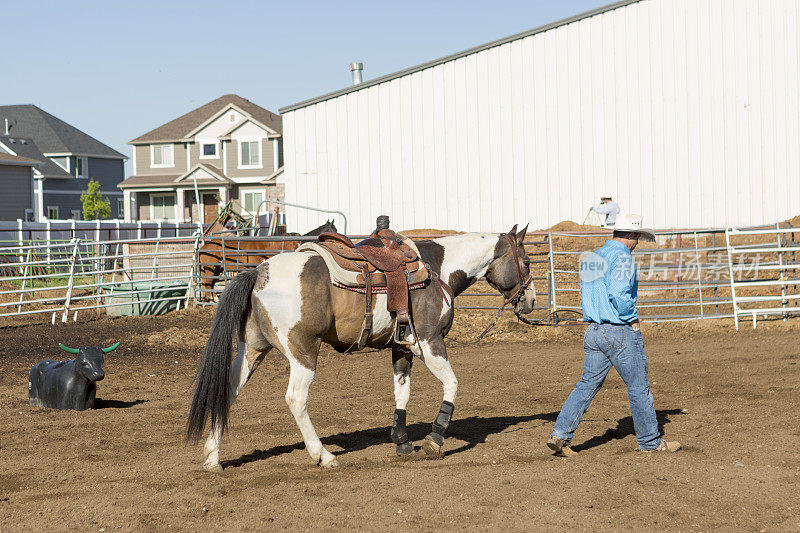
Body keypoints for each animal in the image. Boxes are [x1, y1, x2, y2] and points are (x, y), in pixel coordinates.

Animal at [188, 224, 536, 470]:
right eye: (527, 260)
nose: (531, 301)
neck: (437, 269)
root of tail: (259, 272)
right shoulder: (430, 342)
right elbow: (452, 384)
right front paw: (434, 440)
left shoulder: (402, 348)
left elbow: (401, 393)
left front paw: (402, 442)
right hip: (303, 353)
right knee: (295, 399)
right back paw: (323, 455)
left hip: (253, 350)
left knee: (228, 392)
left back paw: (213, 458)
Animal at [198, 214, 340, 300]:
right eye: (333, 229)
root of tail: (203, 247)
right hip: (211, 268)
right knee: (207, 283)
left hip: (217, 270)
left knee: (209, 284)